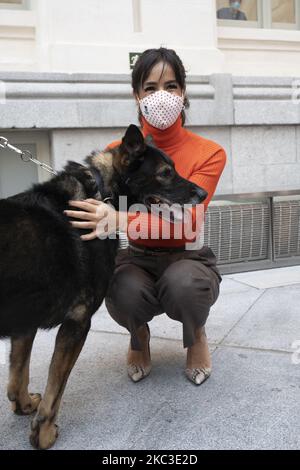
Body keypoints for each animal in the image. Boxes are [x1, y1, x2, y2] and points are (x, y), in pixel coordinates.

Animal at [0, 124, 206, 448]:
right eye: (165, 173)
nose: (203, 193)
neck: (100, 192)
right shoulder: (77, 322)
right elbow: (55, 389)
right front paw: (44, 434)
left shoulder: (26, 319)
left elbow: (18, 374)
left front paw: (24, 407)